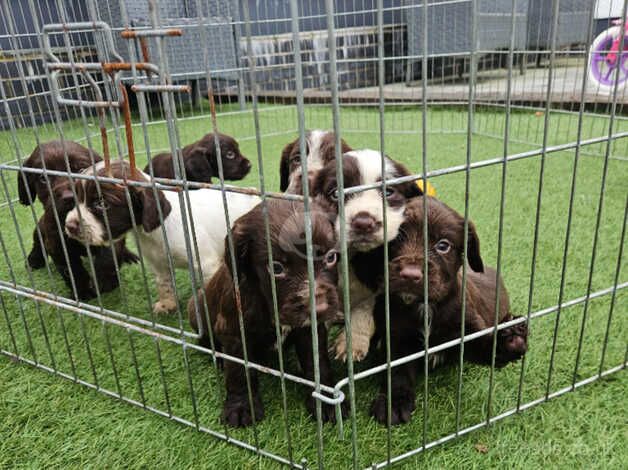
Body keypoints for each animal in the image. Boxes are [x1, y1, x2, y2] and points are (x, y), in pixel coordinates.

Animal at [17, 140, 102, 268]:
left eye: (81, 170)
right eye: (43, 178)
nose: (69, 197)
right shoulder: (57, 246)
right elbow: (73, 270)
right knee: (37, 243)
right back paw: (34, 260)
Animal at [64, 161, 260, 312]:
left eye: (102, 204)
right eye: (76, 198)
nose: (69, 226)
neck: (154, 232)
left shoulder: (206, 264)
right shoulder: (158, 264)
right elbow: (164, 285)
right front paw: (168, 304)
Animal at [189, 200, 344, 428]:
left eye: (331, 257)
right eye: (276, 268)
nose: (319, 307)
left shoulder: (310, 329)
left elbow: (318, 362)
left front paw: (325, 401)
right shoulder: (234, 333)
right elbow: (239, 372)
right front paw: (241, 407)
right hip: (196, 307)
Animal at [370, 196, 528, 424]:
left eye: (443, 245)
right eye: (397, 237)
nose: (410, 275)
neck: (425, 306)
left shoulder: (466, 330)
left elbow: (486, 347)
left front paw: (510, 339)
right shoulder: (398, 337)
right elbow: (398, 372)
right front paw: (394, 402)